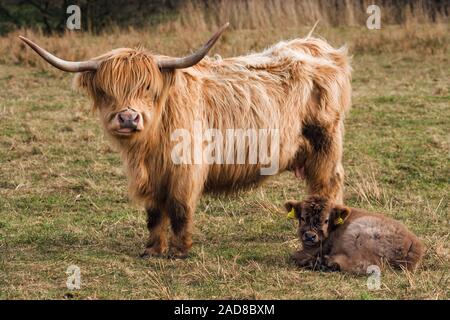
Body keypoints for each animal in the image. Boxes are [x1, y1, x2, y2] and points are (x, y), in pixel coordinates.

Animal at [20, 23, 352, 258]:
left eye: (148, 87)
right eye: (106, 91)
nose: (128, 118)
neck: (149, 147)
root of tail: (317, 46)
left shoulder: (186, 168)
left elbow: (179, 208)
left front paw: (179, 251)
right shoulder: (150, 177)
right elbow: (154, 213)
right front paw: (152, 249)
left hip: (325, 144)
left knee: (328, 185)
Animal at [286, 196, 424, 274]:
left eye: (326, 220)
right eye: (302, 218)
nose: (310, 236)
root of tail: (414, 242)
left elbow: (294, 255)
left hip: (355, 234)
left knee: (365, 265)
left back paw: (325, 262)